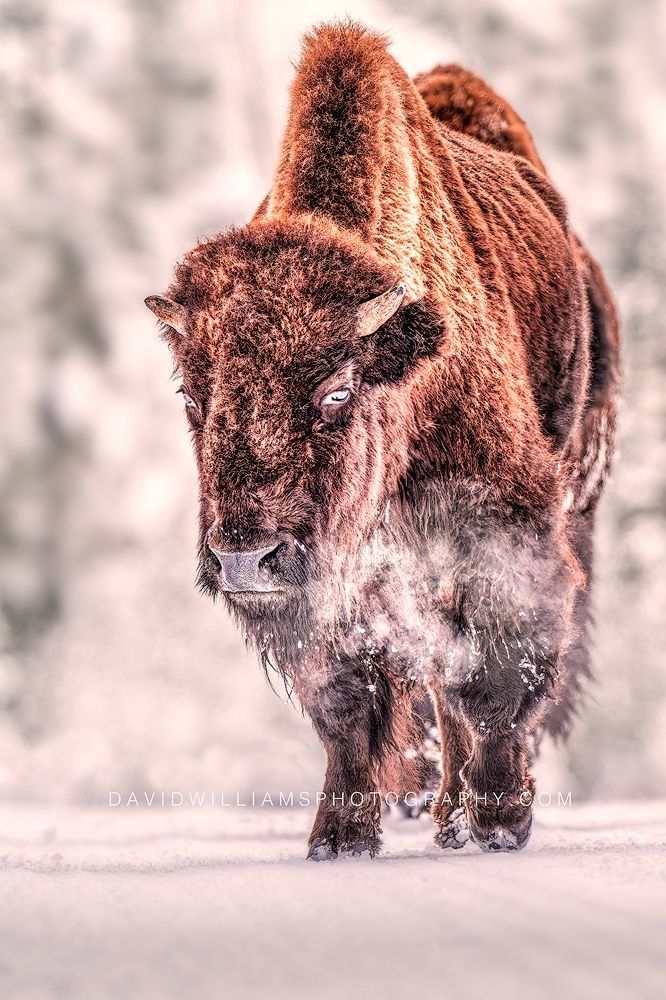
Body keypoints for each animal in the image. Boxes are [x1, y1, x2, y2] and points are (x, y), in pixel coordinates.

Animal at [146, 23, 619, 858]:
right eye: (192, 396)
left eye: (337, 389)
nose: (244, 558)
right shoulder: (336, 587)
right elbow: (349, 700)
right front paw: (338, 837)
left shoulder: (502, 528)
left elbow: (496, 671)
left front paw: (504, 817)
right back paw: (446, 816)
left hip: (579, 498)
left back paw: (470, 815)